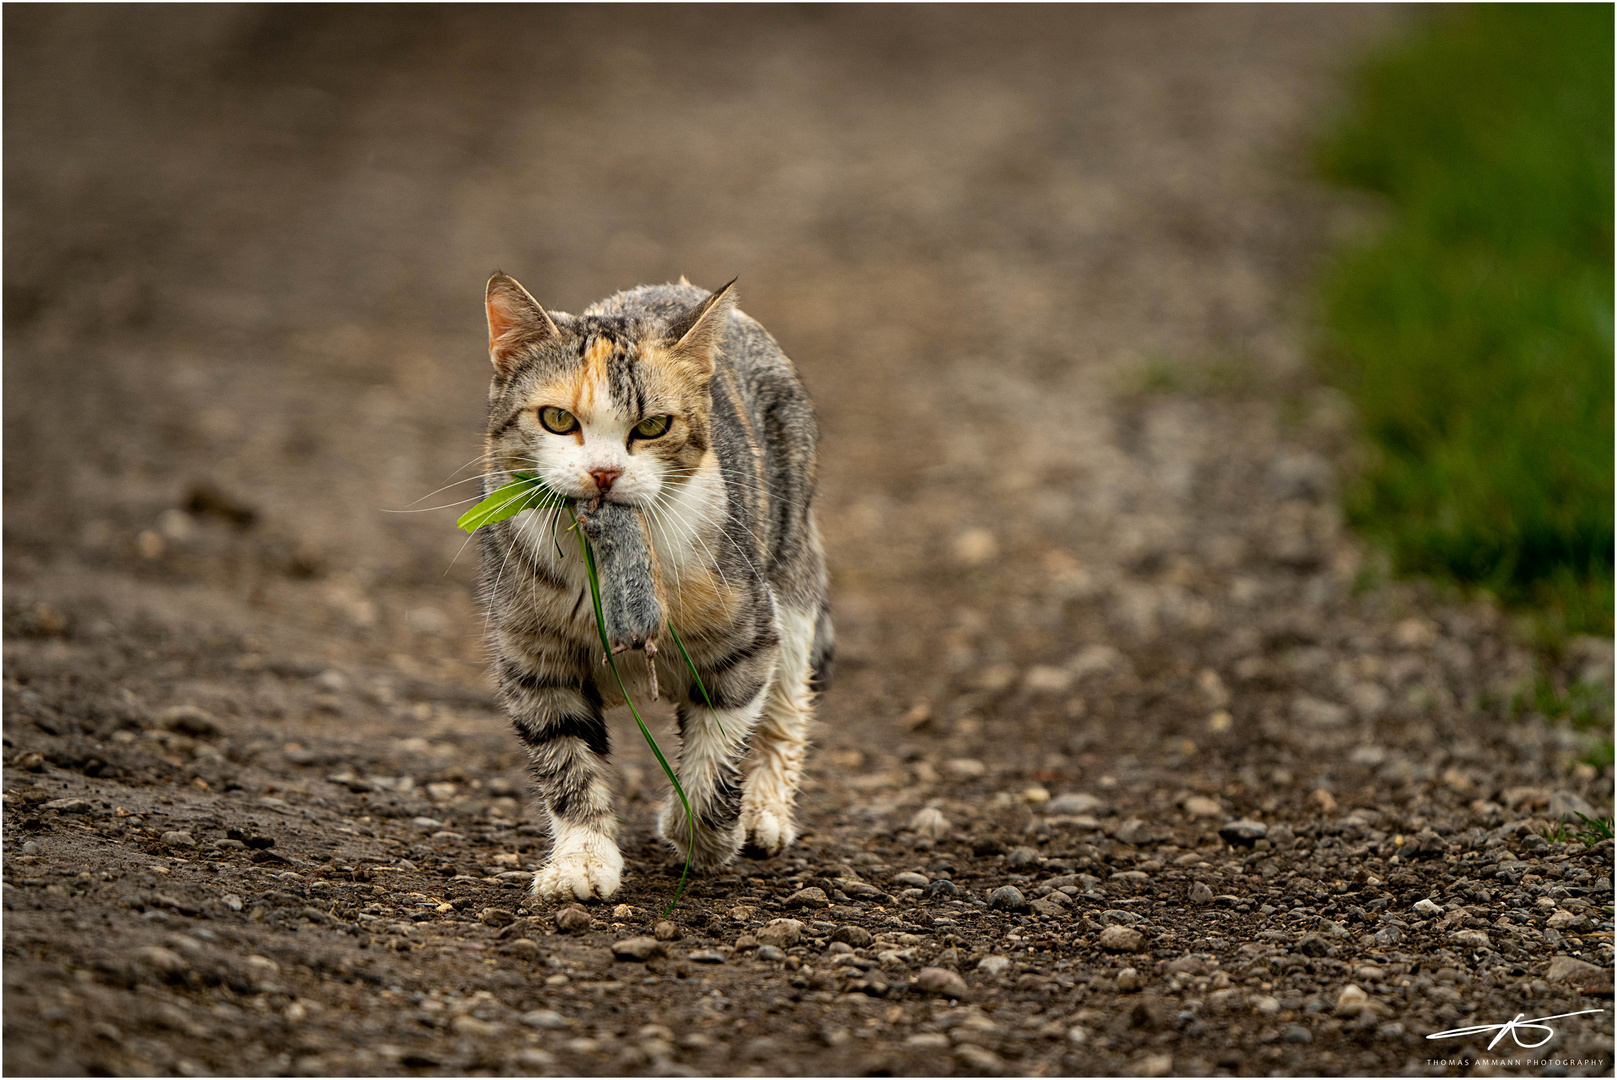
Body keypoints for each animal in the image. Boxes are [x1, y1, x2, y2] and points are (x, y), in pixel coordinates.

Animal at [475, 271, 834, 905]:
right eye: (558, 419)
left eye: (651, 427)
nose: (604, 474)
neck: (600, 562)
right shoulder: (531, 660)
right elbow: (566, 759)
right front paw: (582, 862)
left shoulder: (746, 637)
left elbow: (719, 746)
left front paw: (702, 835)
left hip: (790, 572)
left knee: (786, 706)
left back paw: (763, 814)